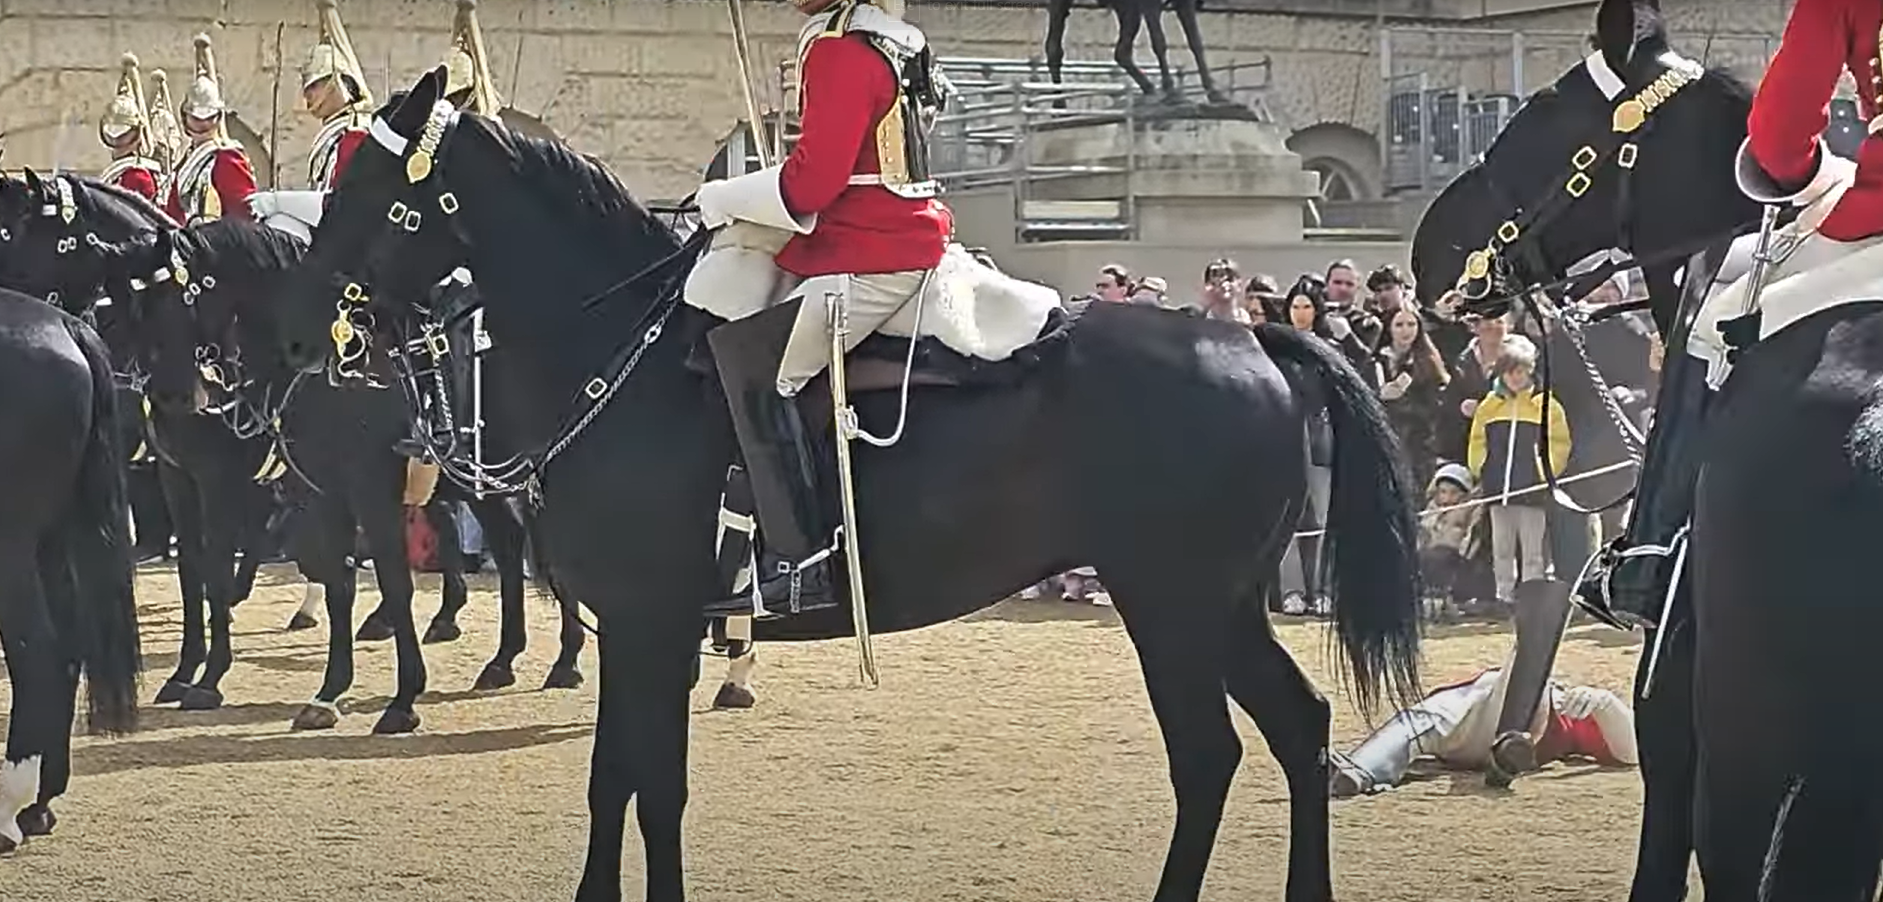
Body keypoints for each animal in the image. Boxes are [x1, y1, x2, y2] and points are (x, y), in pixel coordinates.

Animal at [274, 70, 1423, 902]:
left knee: (1207, 755)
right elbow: (626, 784)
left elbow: (647, 787)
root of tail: (1255, 340)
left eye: (369, 193)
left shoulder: (651, 619)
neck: (614, 350)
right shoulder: (642, 625)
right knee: (1295, 727)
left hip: (1169, 602)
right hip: (1216, 604)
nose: (304, 323)